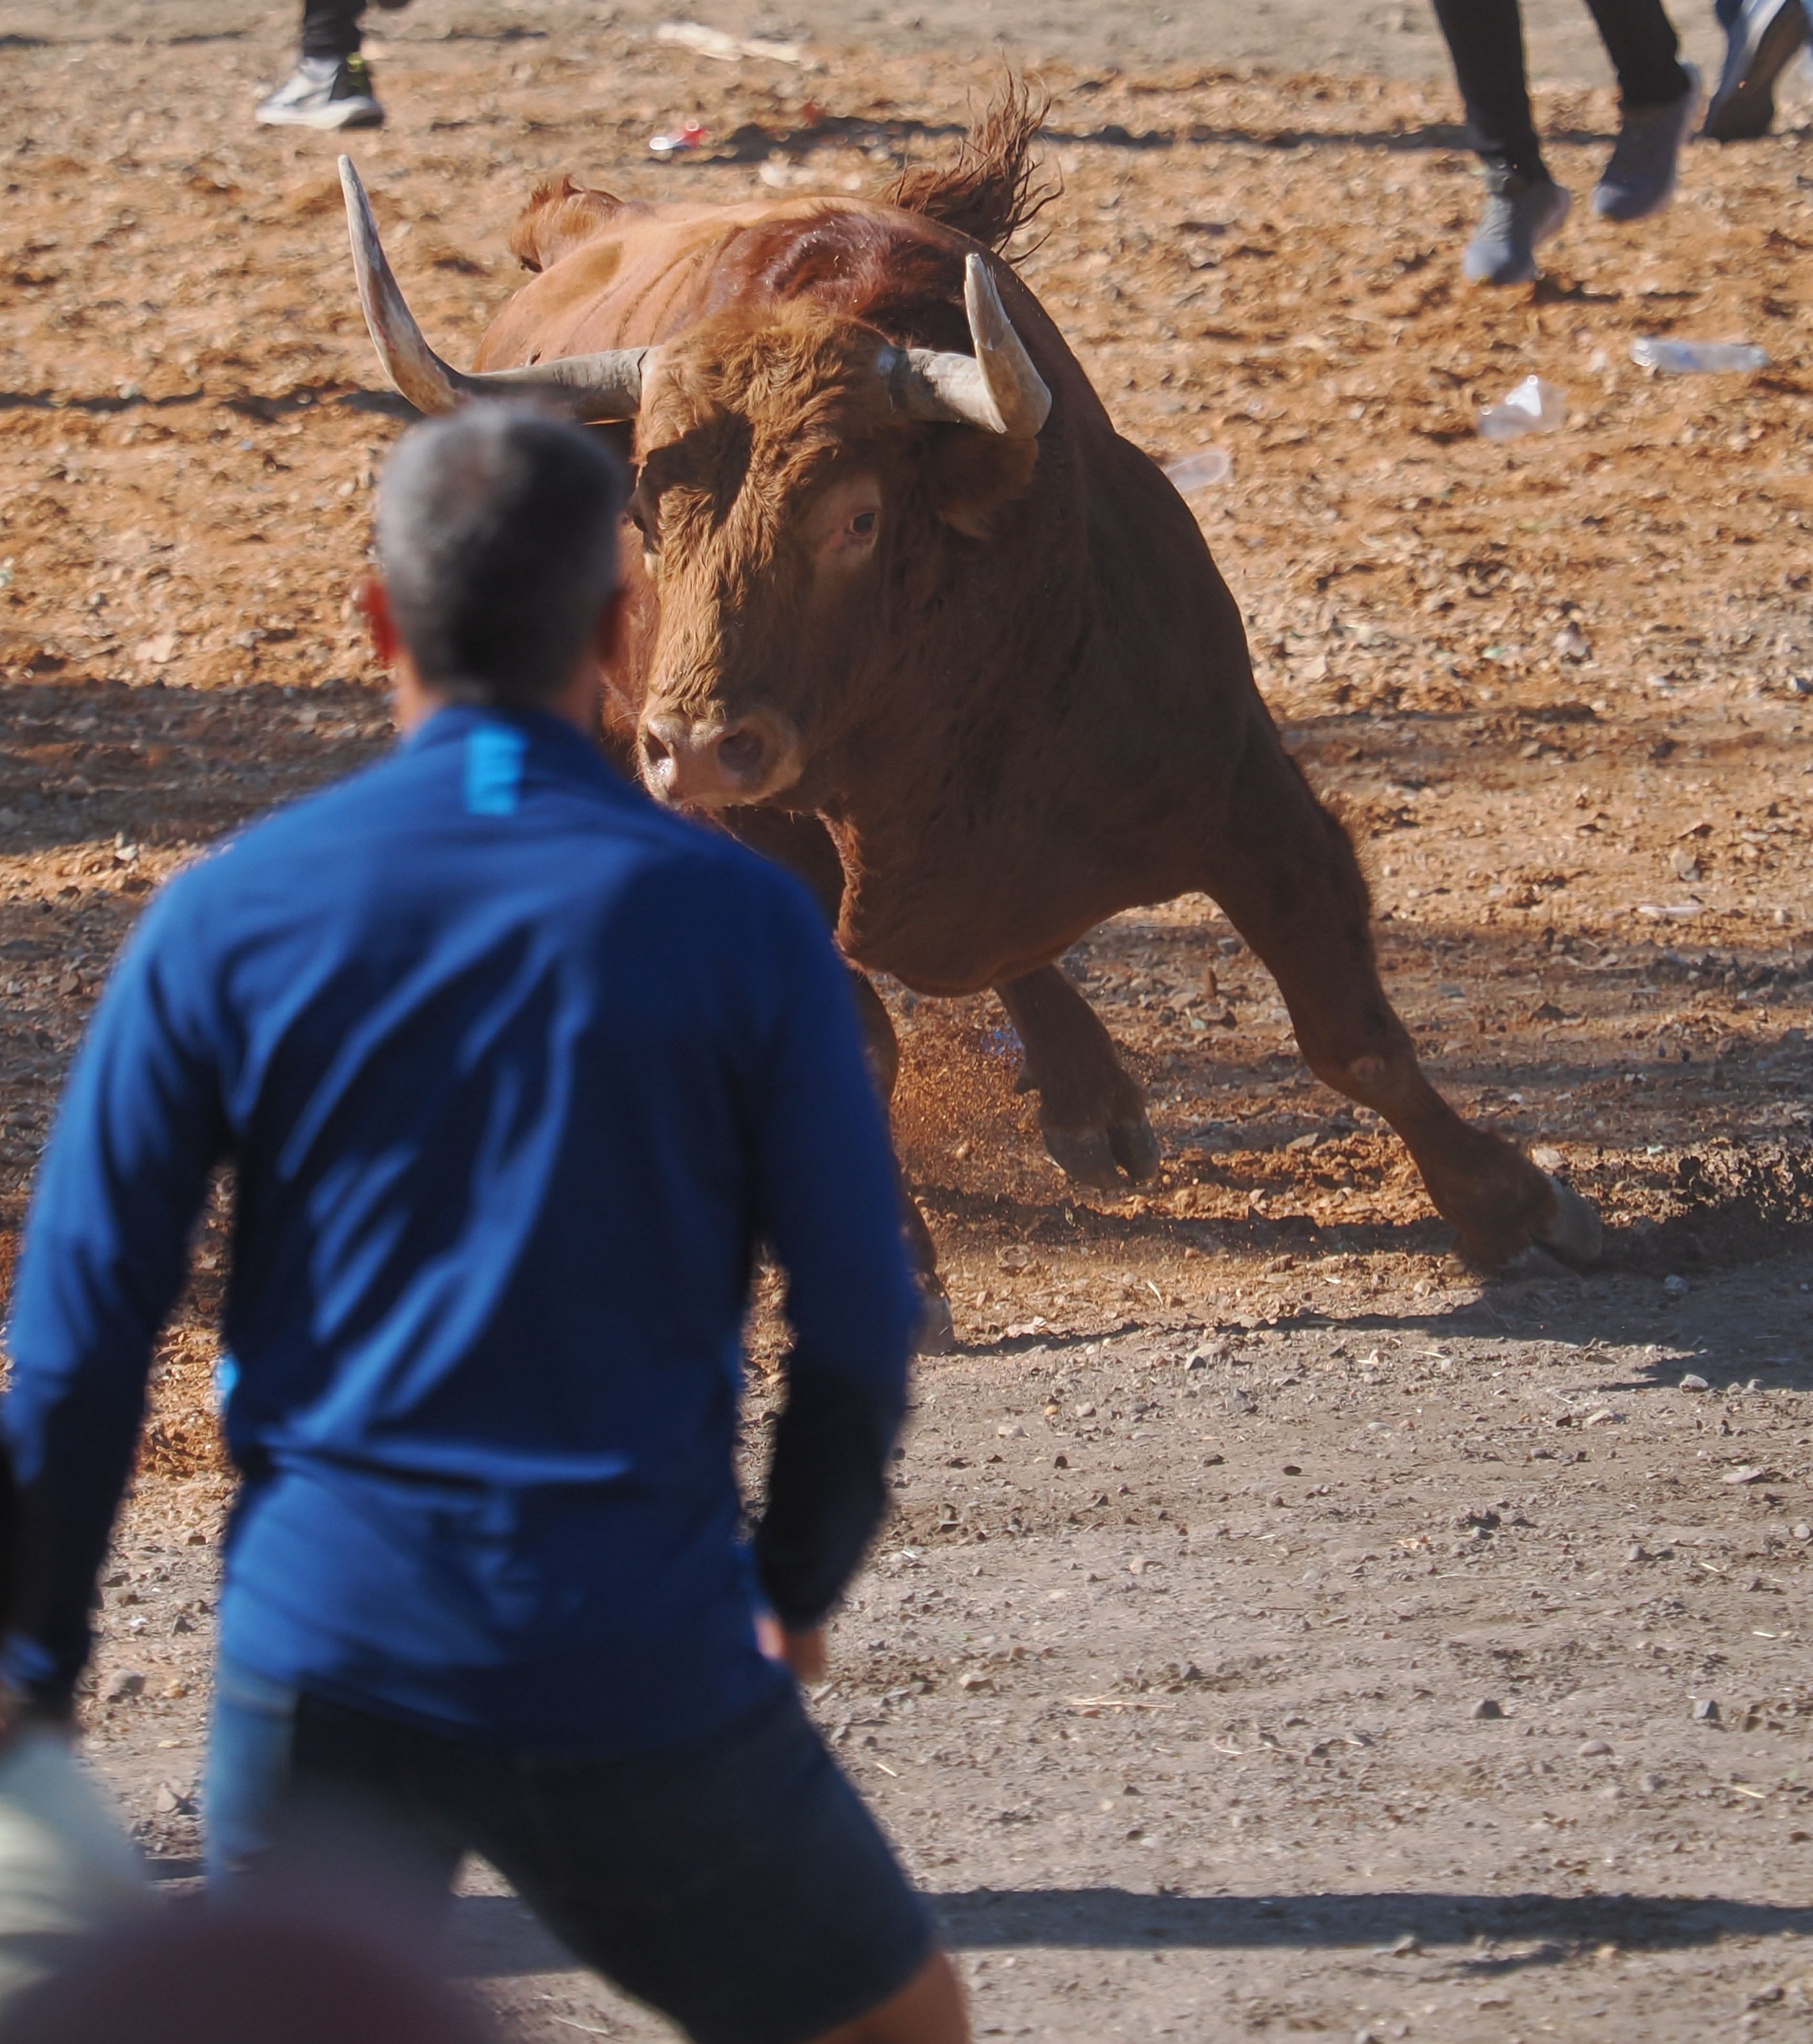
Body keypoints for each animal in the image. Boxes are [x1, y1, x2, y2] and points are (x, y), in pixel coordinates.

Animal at [333, 92, 1594, 1324]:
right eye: (643, 516)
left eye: (854, 516)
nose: (695, 745)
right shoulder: (749, 838)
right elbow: (851, 1039)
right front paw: (900, 1263)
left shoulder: (1244, 786)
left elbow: (1347, 1029)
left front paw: (1505, 1203)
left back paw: (1090, 1100)